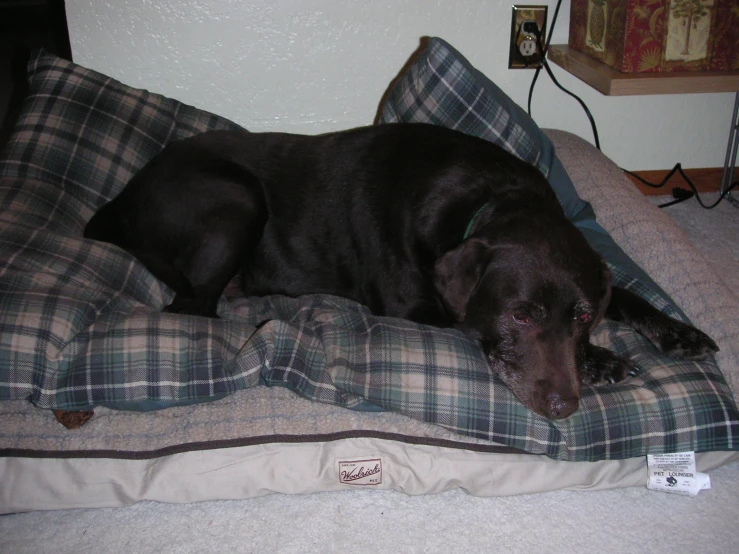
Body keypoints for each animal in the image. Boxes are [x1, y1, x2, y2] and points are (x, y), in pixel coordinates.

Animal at [84, 124, 720, 418]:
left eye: (585, 315)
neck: (489, 199)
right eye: (521, 315)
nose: (565, 406)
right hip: (236, 199)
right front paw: (606, 361)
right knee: (191, 306)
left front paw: (675, 332)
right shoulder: (416, 309)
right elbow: (470, 324)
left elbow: (627, 294)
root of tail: (121, 199)